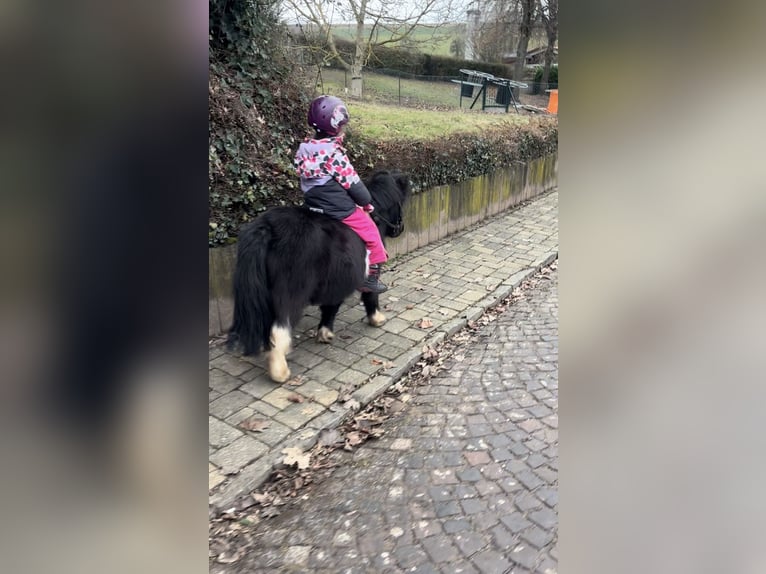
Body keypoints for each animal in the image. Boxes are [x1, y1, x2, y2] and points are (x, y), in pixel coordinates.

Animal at [226, 173, 412, 384]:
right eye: (400, 204)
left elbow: (330, 307)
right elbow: (369, 295)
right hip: (291, 293)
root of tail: (267, 228)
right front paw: (377, 319)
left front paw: (324, 333)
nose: (399, 229)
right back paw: (280, 371)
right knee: (280, 327)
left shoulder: (335, 281)